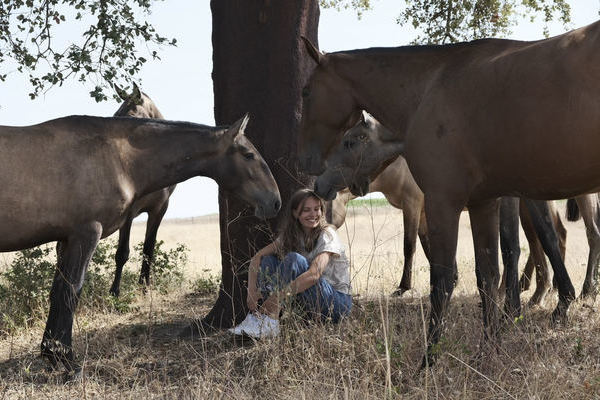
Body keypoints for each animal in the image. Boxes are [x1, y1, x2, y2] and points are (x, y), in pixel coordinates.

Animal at [109, 83, 175, 296]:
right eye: (115, 115)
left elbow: (149, 249)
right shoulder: (129, 212)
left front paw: (144, 287)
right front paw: (114, 292)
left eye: (131, 116)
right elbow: (122, 253)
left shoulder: (159, 209)